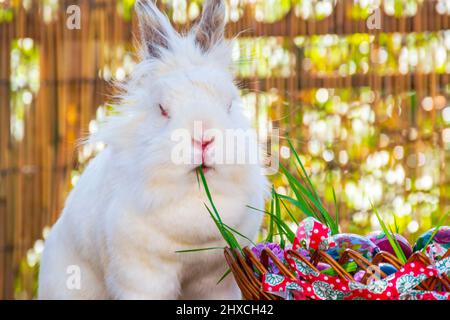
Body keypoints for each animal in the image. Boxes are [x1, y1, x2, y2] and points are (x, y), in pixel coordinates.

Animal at [38, 0, 266, 300]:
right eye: (162, 109)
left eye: (229, 104)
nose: (203, 139)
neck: (194, 194)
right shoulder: (142, 276)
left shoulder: (217, 280)